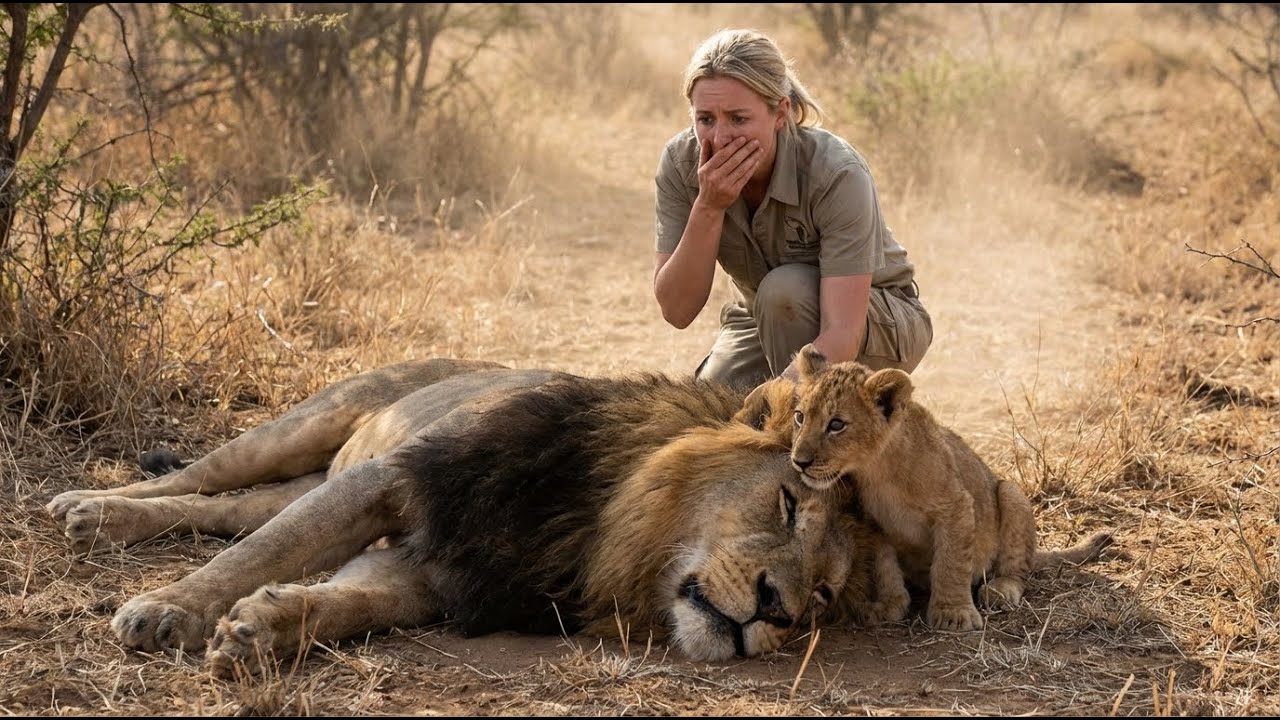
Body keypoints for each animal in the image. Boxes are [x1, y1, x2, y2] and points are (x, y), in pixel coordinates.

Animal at [47, 358, 875, 674]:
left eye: (822, 597)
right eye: (787, 501)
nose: (776, 608)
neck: (604, 530)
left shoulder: (441, 572)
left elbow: (345, 602)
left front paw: (261, 627)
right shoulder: (398, 480)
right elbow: (260, 555)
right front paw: (167, 611)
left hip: (303, 475)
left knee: (232, 513)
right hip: (303, 427)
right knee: (204, 479)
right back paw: (90, 510)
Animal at [787, 344, 1113, 632]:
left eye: (836, 425)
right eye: (800, 417)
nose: (799, 461)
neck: (877, 471)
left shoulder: (956, 506)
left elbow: (951, 562)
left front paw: (953, 613)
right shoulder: (874, 524)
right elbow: (884, 567)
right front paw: (888, 606)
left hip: (1011, 494)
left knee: (1017, 567)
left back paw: (1001, 589)